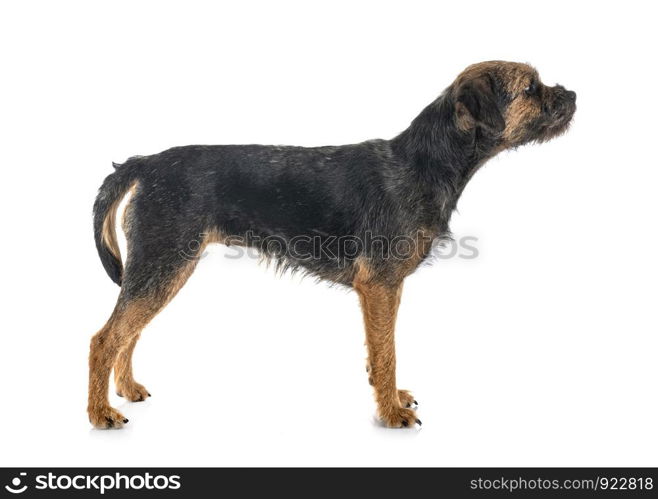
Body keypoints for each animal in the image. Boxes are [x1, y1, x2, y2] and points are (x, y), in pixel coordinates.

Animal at [88, 61, 576, 430]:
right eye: (530, 87)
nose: (572, 94)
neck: (424, 163)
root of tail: (144, 164)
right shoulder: (380, 285)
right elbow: (388, 352)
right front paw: (390, 412)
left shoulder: (383, 290)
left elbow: (378, 350)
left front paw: (389, 396)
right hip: (163, 263)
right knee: (104, 338)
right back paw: (100, 413)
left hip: (161, 269)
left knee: (128, 332)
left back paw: (127, 389)